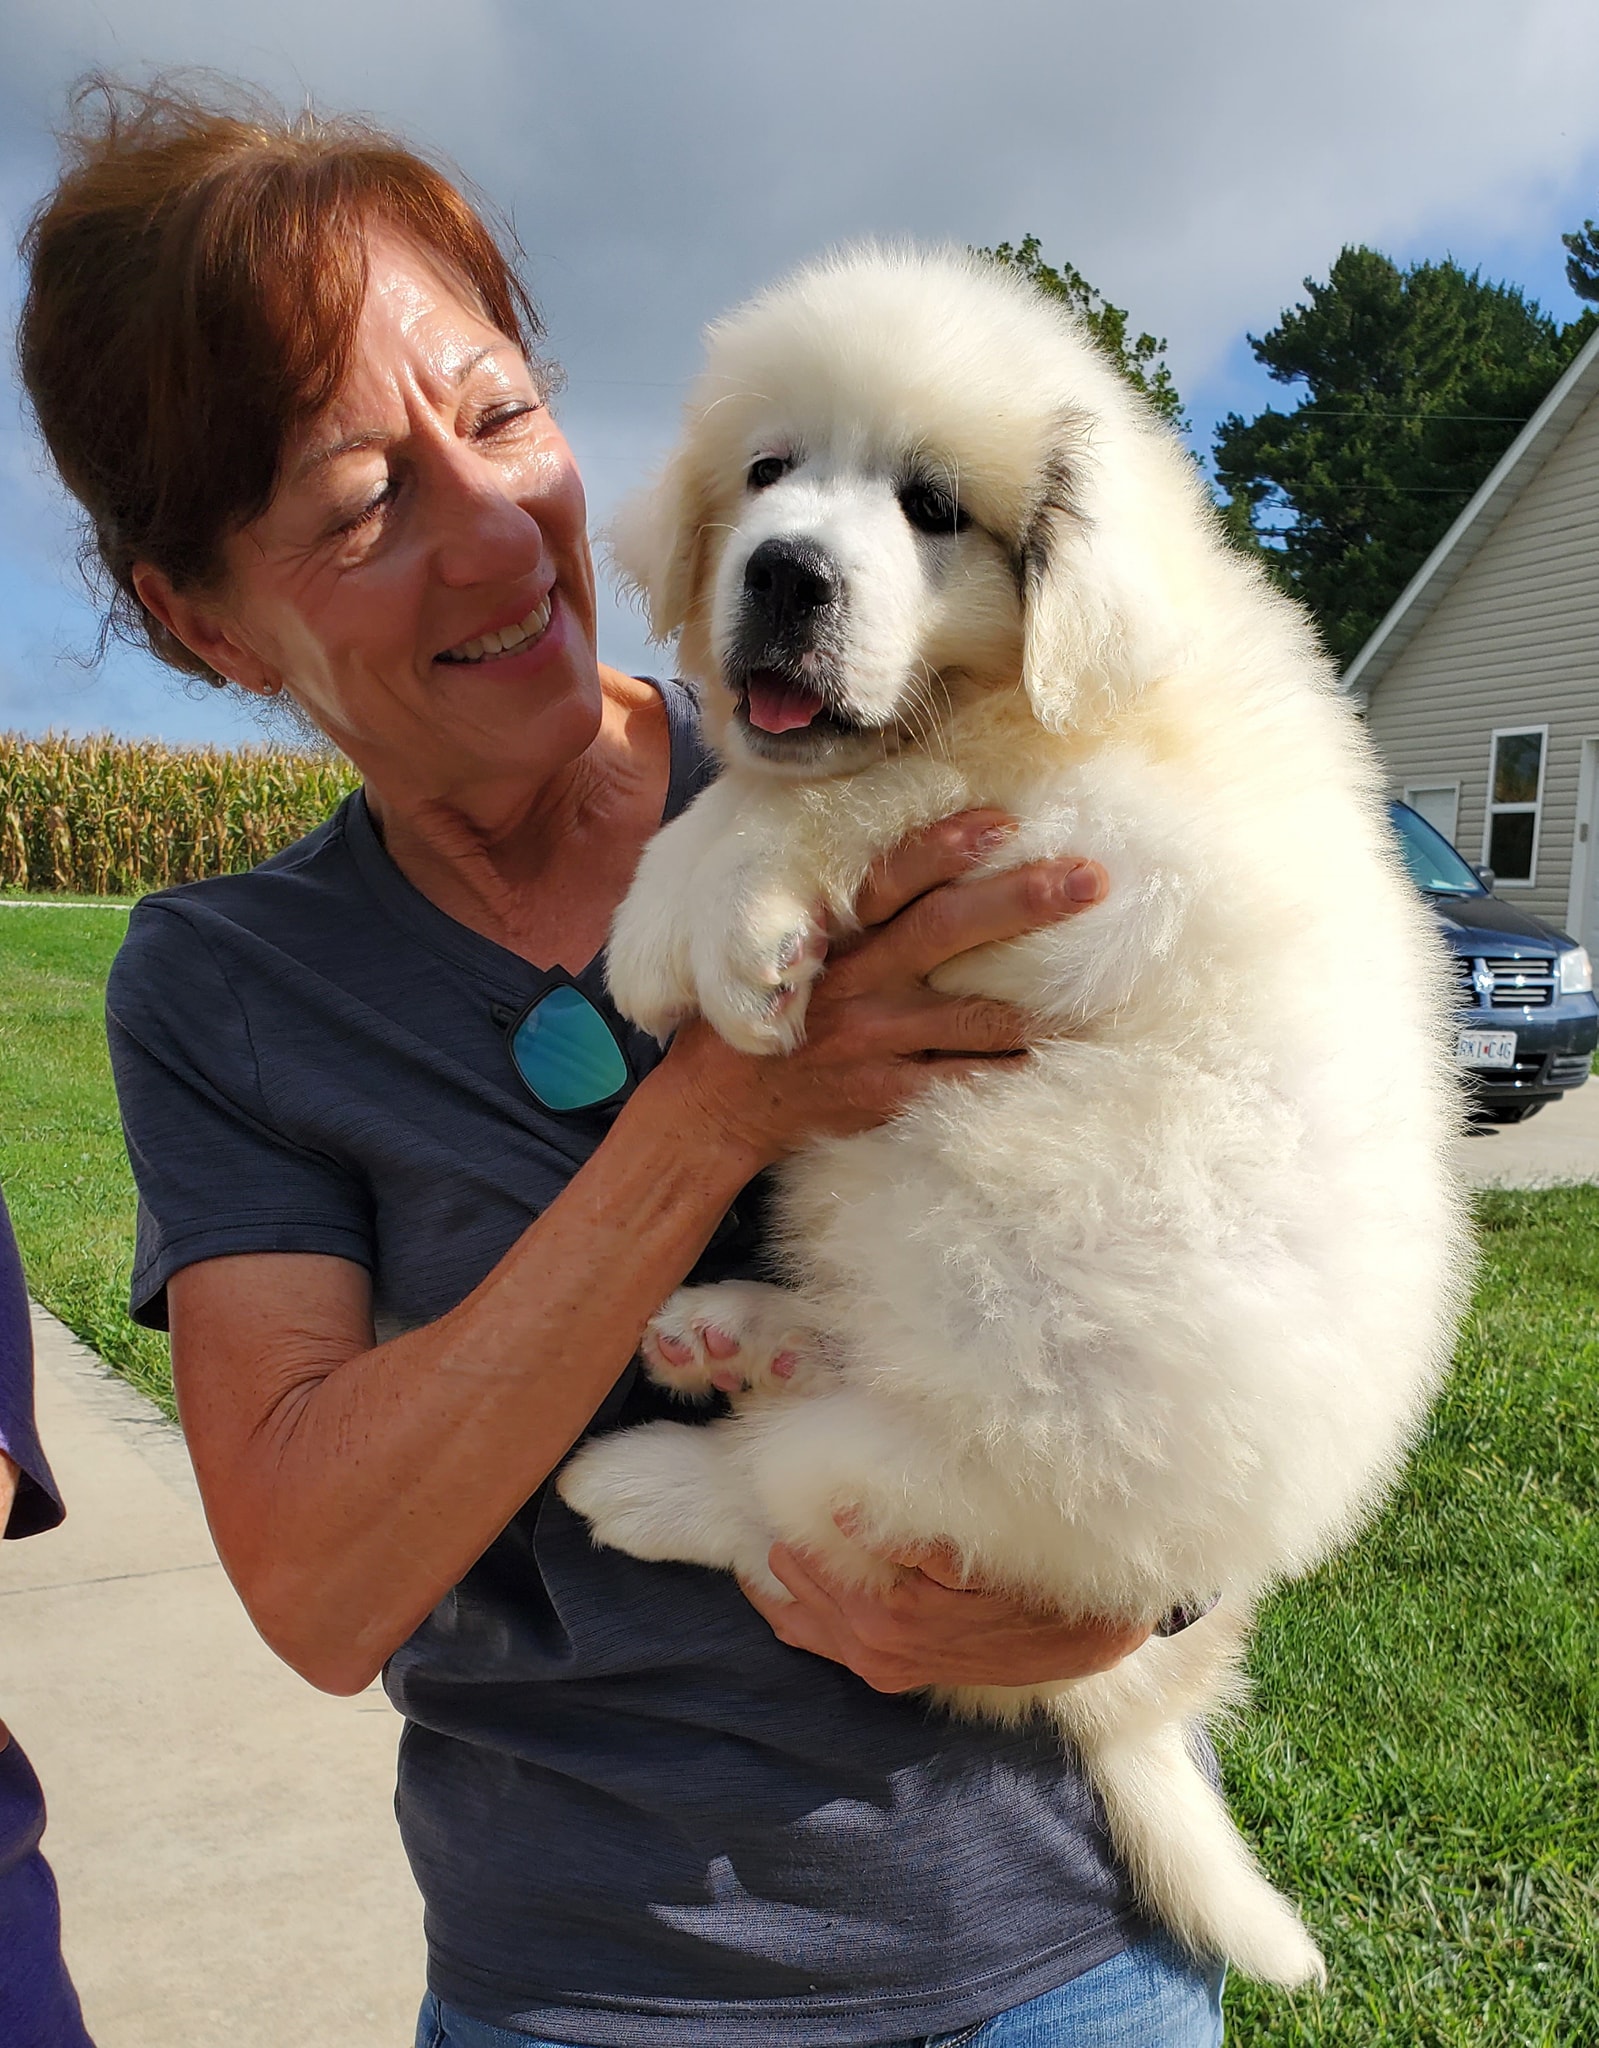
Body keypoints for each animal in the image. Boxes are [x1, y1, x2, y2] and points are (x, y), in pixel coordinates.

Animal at [556, 239, 1465, 1982]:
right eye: (765, 473)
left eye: (929, 508)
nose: (782, 575)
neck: (1056, 694)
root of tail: (1131, 1697)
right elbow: (811, 778)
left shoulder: (1100, 843)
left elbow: (859, 785)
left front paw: (697, 918)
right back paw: (728, 1334)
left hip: (994, 1461)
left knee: (782, 1504)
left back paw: (643, 1473)